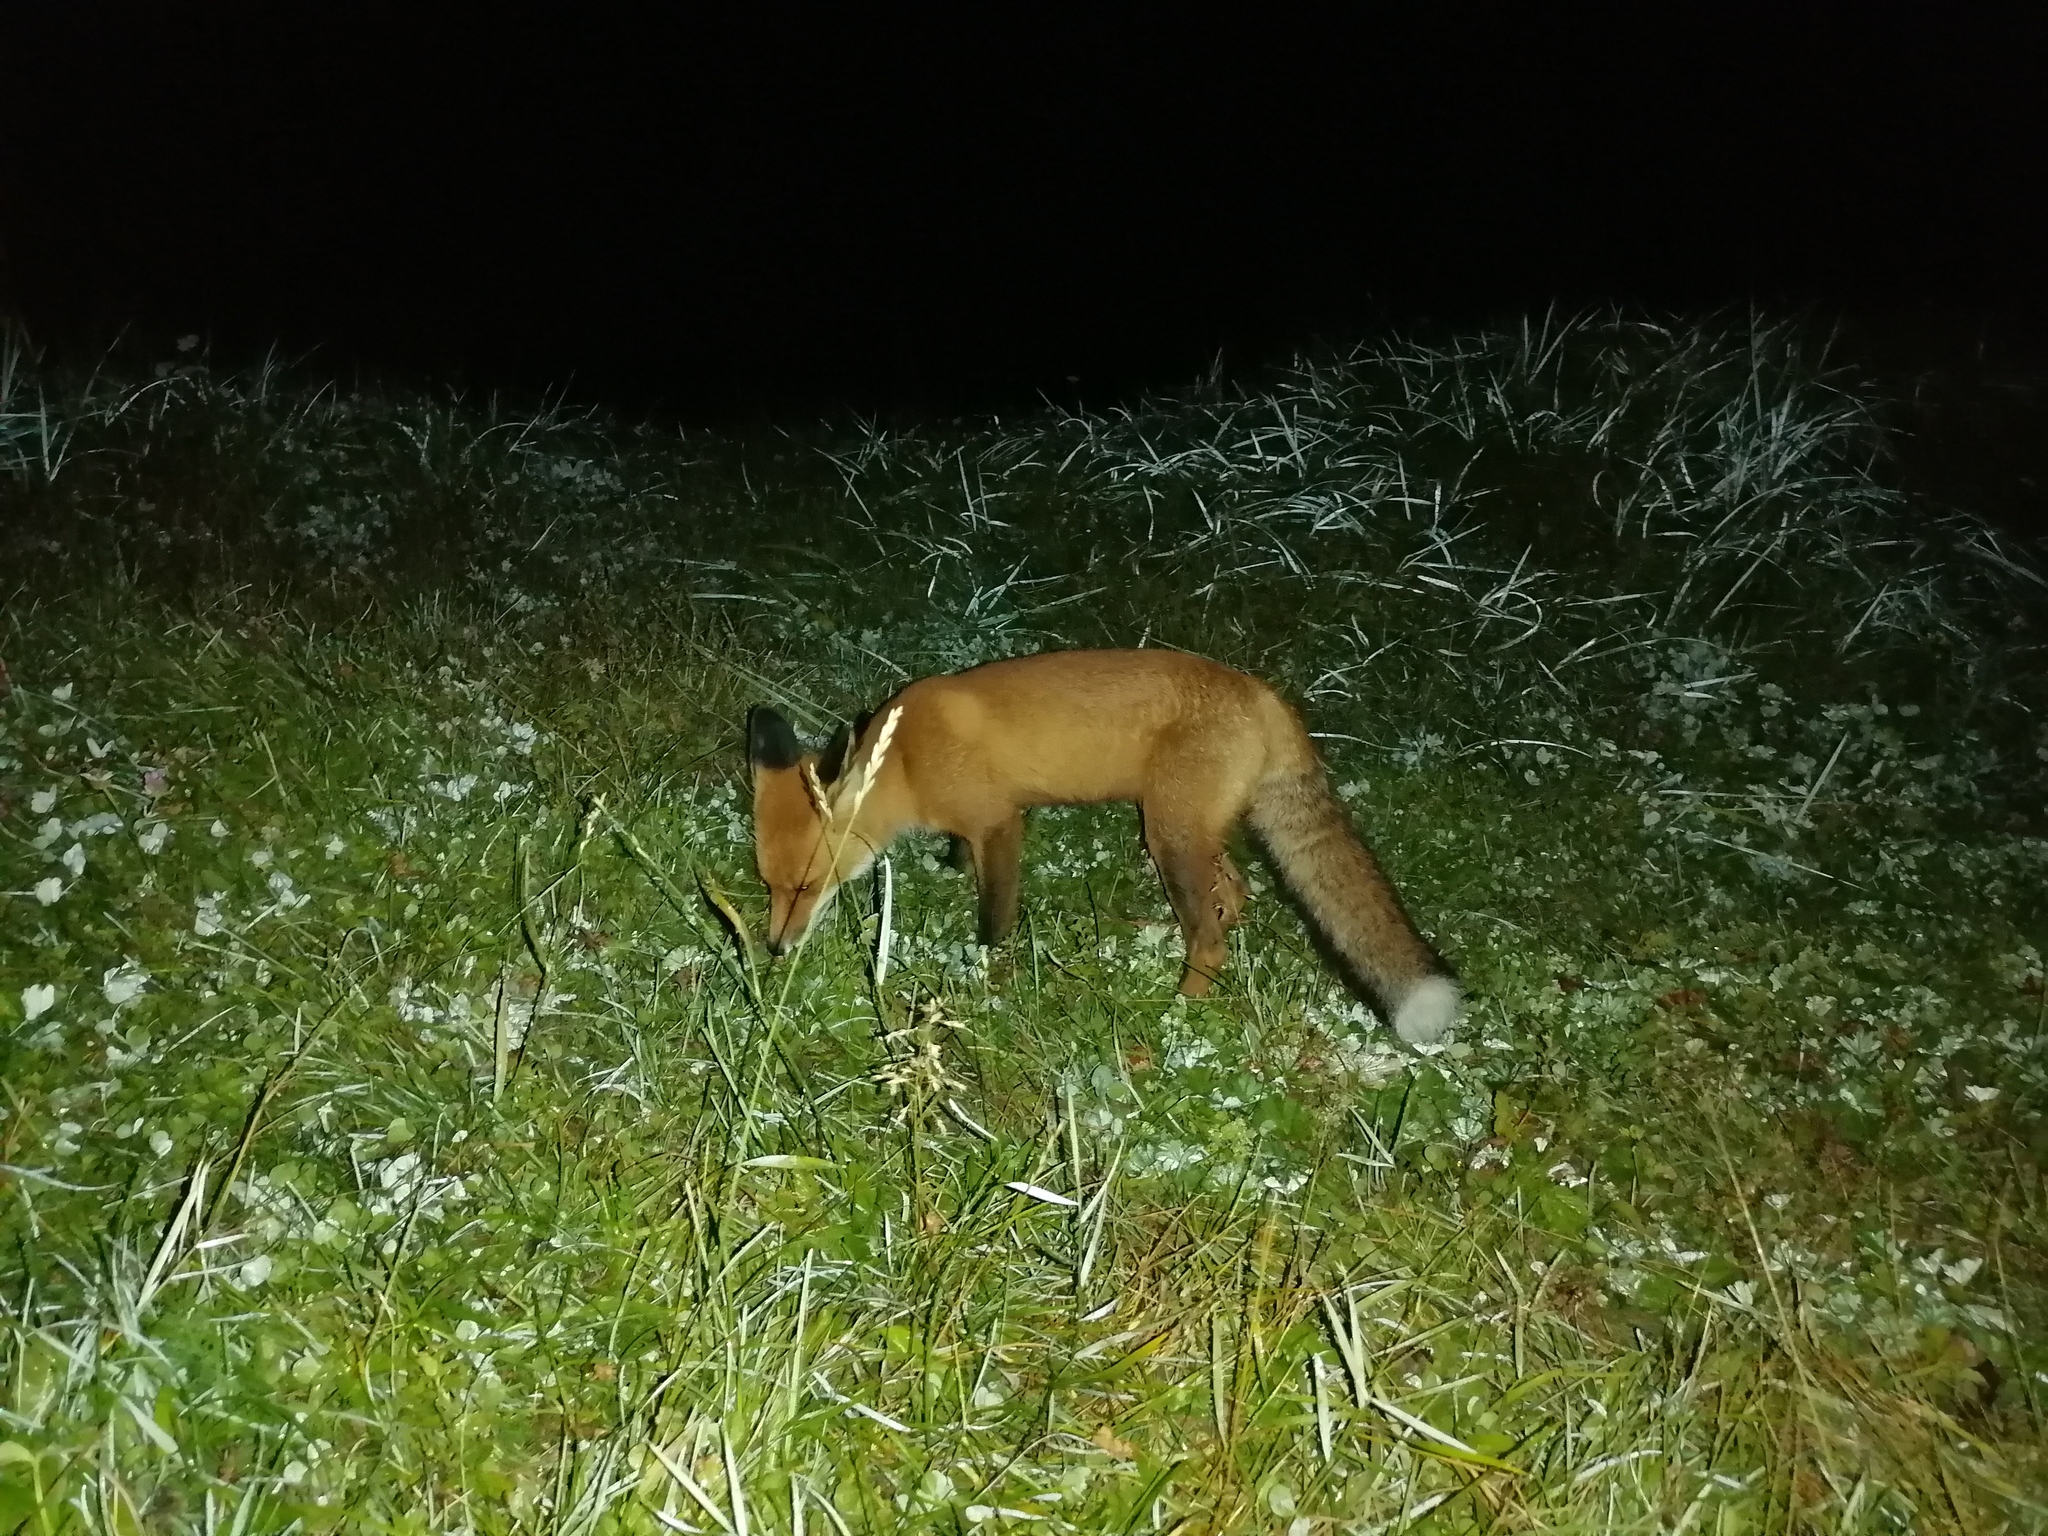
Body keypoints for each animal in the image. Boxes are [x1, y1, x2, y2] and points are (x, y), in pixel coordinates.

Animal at [745, 651, 1466, 1048]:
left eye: (806, 887)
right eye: (770, 887)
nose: (775, 950)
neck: (907, 762)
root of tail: (1264, 694)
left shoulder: (1002, 823)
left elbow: (994, 918)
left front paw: (986, 974)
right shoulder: (974, 824)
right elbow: (961, 857)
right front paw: (948, 868)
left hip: (1167, 836)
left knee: (1210, 938)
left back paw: (1179, 1011)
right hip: (1190, 832)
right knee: (1236, 895)